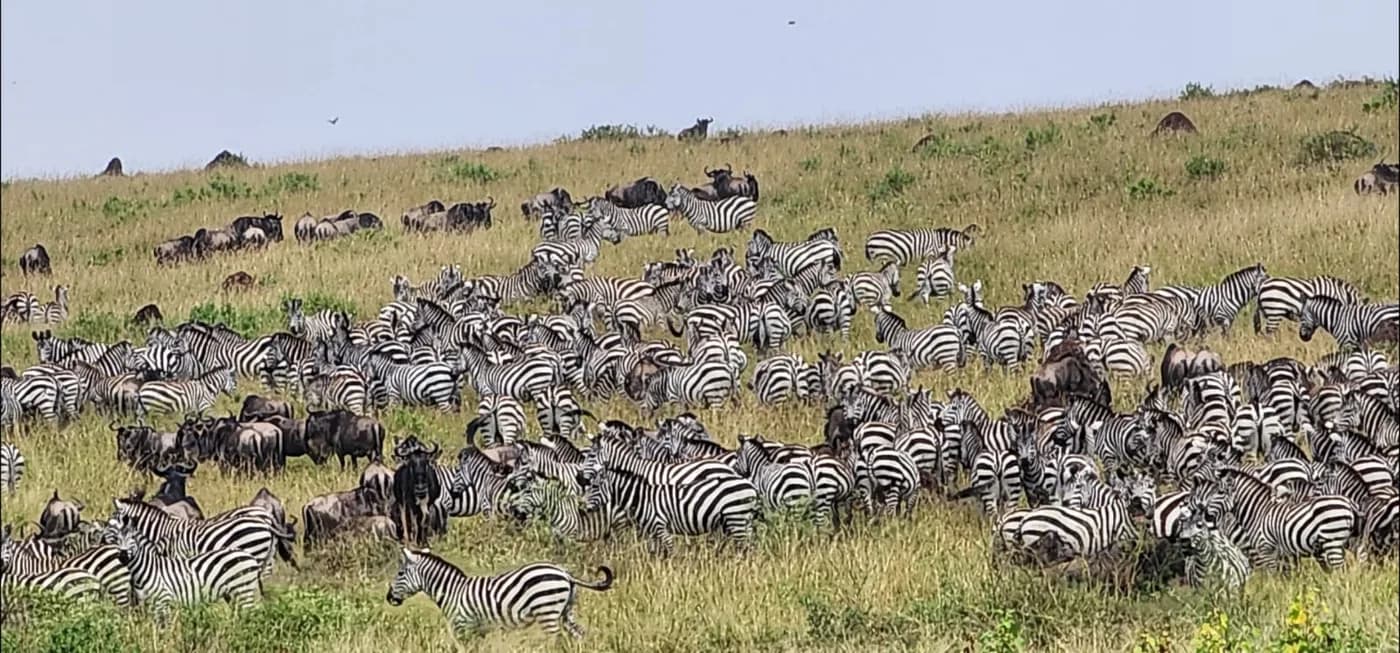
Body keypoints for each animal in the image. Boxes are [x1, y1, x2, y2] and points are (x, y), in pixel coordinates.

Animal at [100, 519, 262, 622]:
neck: (146, 570)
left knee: (251, 615)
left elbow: (163, 629)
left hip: (243, 590)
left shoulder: (163, 602)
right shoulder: (147, 604)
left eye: (133, 538)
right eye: (116, 539)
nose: (122, 556)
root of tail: (249, 556)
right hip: (232, 594)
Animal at [387, 548, 613, 638]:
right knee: (579, 635)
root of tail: (565, 573)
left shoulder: (463, 626)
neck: (452, 591)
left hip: (547, 612)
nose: (389, 598)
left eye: (399, 573)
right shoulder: (478, 630)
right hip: (566, 612)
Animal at [583, 467, 759, 556]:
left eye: (594, 487)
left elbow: (670, 550)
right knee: (749, 546)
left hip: (735, 517)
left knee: (742, 547)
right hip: (745, 520)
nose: (582, 507)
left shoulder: (660, 526)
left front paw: (672, 573)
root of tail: (751, 486)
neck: (642, 498)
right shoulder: (652, 532)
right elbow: (655, 553)